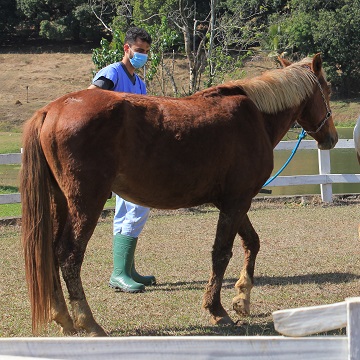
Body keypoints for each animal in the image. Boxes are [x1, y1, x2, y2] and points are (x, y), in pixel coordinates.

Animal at [21, 52, 338, 334]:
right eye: (328, 90)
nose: (332, 138)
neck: (255, 117)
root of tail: (52, 110)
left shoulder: (235, 201)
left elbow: (252, 243)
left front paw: (242, 298)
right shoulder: (236, 201)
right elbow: (221, 252)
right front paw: (217, 309)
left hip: (61, 202)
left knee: (51, 252)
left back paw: (64, 318)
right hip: (86, 202)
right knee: (69, 255)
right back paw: (88, 322)